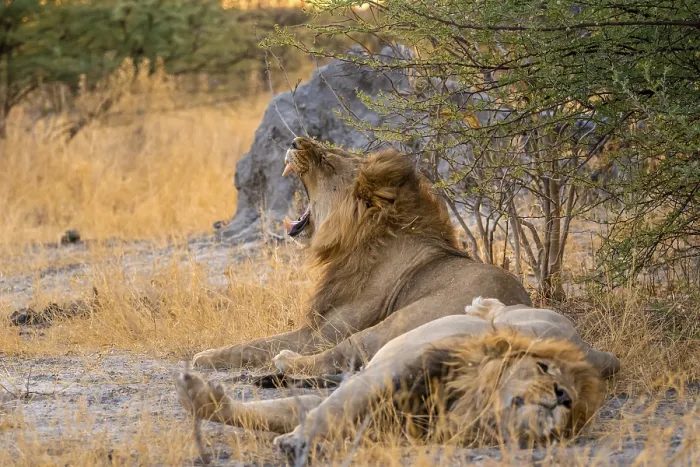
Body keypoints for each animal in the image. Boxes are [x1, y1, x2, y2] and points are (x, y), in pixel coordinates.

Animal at [177, 298, 620, 459]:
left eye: (573, 405)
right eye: (544, 370)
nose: (562, 395)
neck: (471, 398)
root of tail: (587, 346)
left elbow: (316, 412)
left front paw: (296, 441)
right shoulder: (379, 381)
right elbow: (314, 411)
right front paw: (202, 398)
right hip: (531, 323)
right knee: (499, 316)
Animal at [193, 137, 533, 371]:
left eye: (328, 161)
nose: (295, 141)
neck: (363, 239)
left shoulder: (322, 334)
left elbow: (256, 344)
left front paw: (205, 355)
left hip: (401, 322)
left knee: (341, 356)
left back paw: (287, 362)